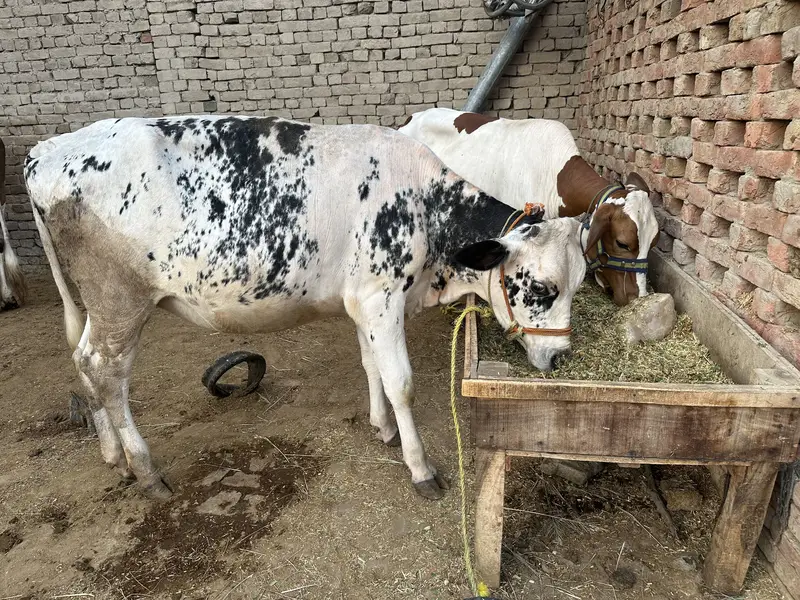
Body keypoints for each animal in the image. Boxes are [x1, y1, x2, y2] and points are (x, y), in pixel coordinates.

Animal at [24, 115, 587, 500]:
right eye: (543, 288)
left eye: (581, 282)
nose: (562, 357)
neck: (425, 207)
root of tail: (52, 148)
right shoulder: (382, 297)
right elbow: (401, 383)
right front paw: (421, 468)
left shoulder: (362, 300)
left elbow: (371, 366)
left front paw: (382, 428)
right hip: (121, 299)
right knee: (106, 370)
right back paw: (145, 470)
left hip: (102, 305)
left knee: (83, 361)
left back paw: (113, 456)